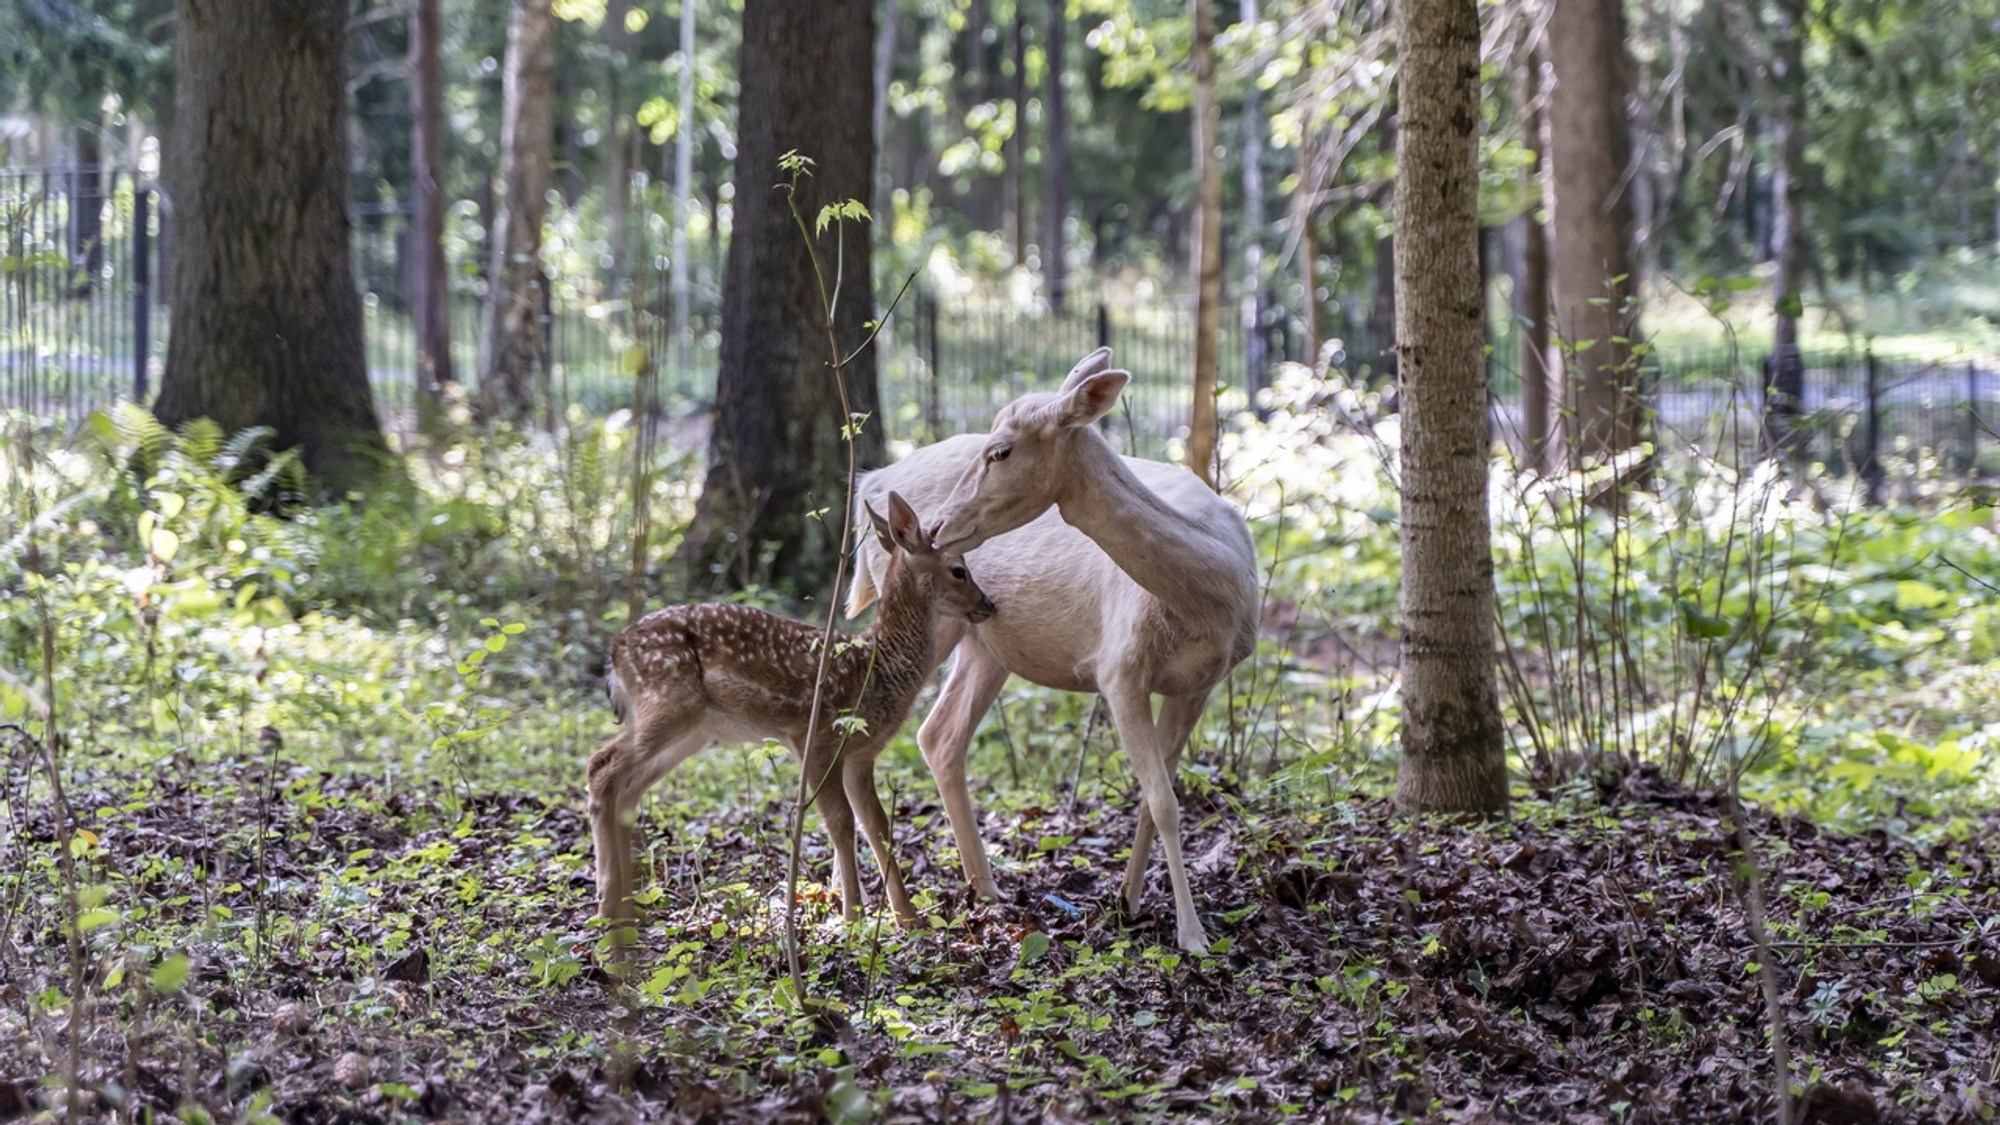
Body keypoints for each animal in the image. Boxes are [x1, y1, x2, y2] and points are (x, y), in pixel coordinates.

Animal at [592, 490, 1000, 928]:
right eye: (958, 570)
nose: (989, 604)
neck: (876, 667)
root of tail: (615, 650)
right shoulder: (816, 738)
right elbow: (840, 824)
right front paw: (852, 918)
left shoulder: (860, 754)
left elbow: (877, 826)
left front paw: (908, 920)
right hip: (667, 702)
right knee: (602, 766)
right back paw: (607, 903)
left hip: (693, 729)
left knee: (629, 786)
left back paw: (623, 904)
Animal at [840, 348, 1248, 944]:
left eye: (1001, 450)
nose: (936, 526)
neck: (1213, 599)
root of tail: (870, 482)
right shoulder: (1118, 668)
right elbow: (1165, 802)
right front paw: (1192, 936)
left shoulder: (1199, 683)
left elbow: (1156, 801)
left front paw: (1129, 902)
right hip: (926, 619)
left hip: (986, 642)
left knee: (939, 735)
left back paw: (983, 890)